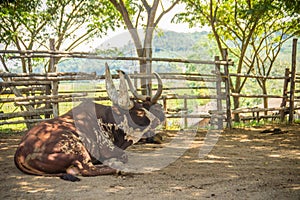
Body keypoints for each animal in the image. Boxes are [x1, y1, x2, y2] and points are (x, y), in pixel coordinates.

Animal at [14, 65, 165, 182]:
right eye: (139, 112)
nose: (160, 117)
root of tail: (20, 151)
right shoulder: (107, 149)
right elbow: (124, 156)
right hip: (76, 147)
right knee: (87, 169)